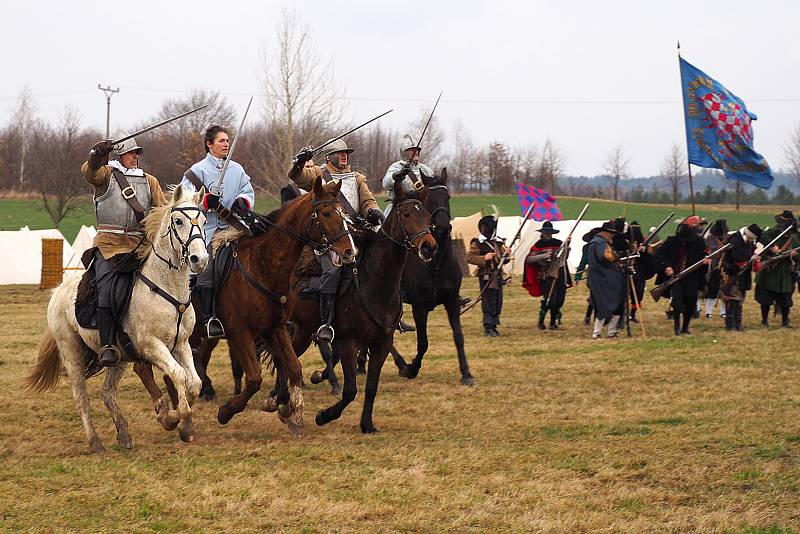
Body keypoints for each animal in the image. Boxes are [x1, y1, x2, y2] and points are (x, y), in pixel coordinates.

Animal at [138, 178, 354, 438]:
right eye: (326, 213)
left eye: (342, 213)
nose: (349, 251)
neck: (263, 265)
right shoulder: (240, 334)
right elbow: (254, 379)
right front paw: (226, 411)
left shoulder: (275, 329)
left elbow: (294, 367)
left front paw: (293, 414)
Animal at [274, 182, 438, 434]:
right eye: (406, 214)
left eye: (427, 216)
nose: (429, 246)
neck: (374, 282)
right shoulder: (348, 343)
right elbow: (350, 390)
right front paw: (324, 415)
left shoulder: (382, 343)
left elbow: (371, 387)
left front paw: (367, 424)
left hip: (301, 331)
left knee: (287, 356)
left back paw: (279, 397)